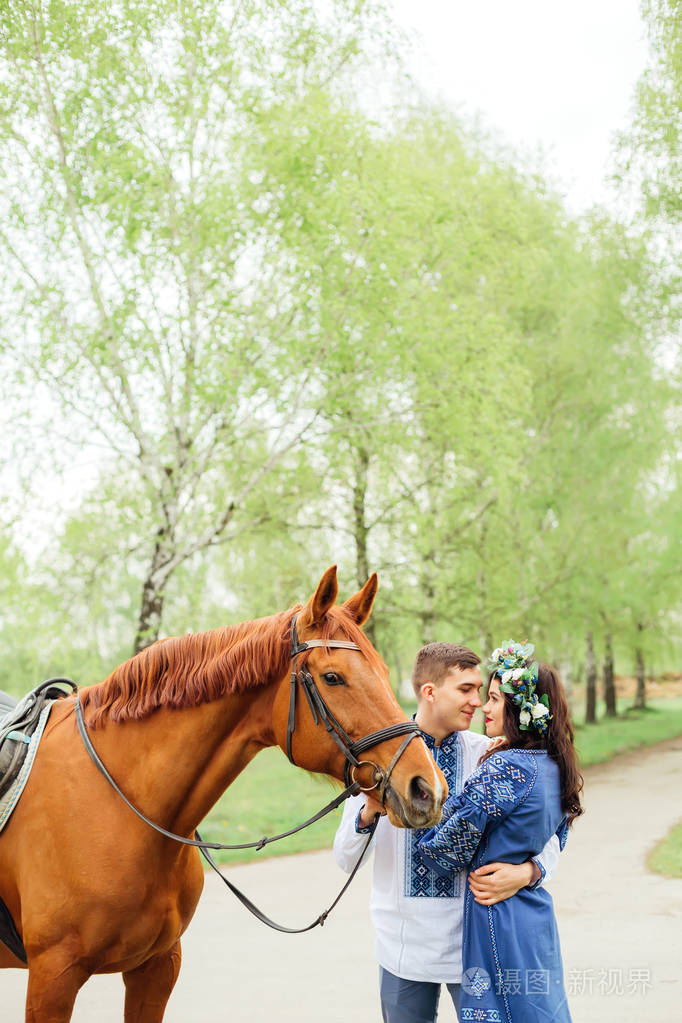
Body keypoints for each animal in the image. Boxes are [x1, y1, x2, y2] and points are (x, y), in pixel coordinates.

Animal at [0, 568, 447, 1023]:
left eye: (384, 670)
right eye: (332, 677)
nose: (426, 787)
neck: (120, 808)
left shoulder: (157, 967)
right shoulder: (54, 979)